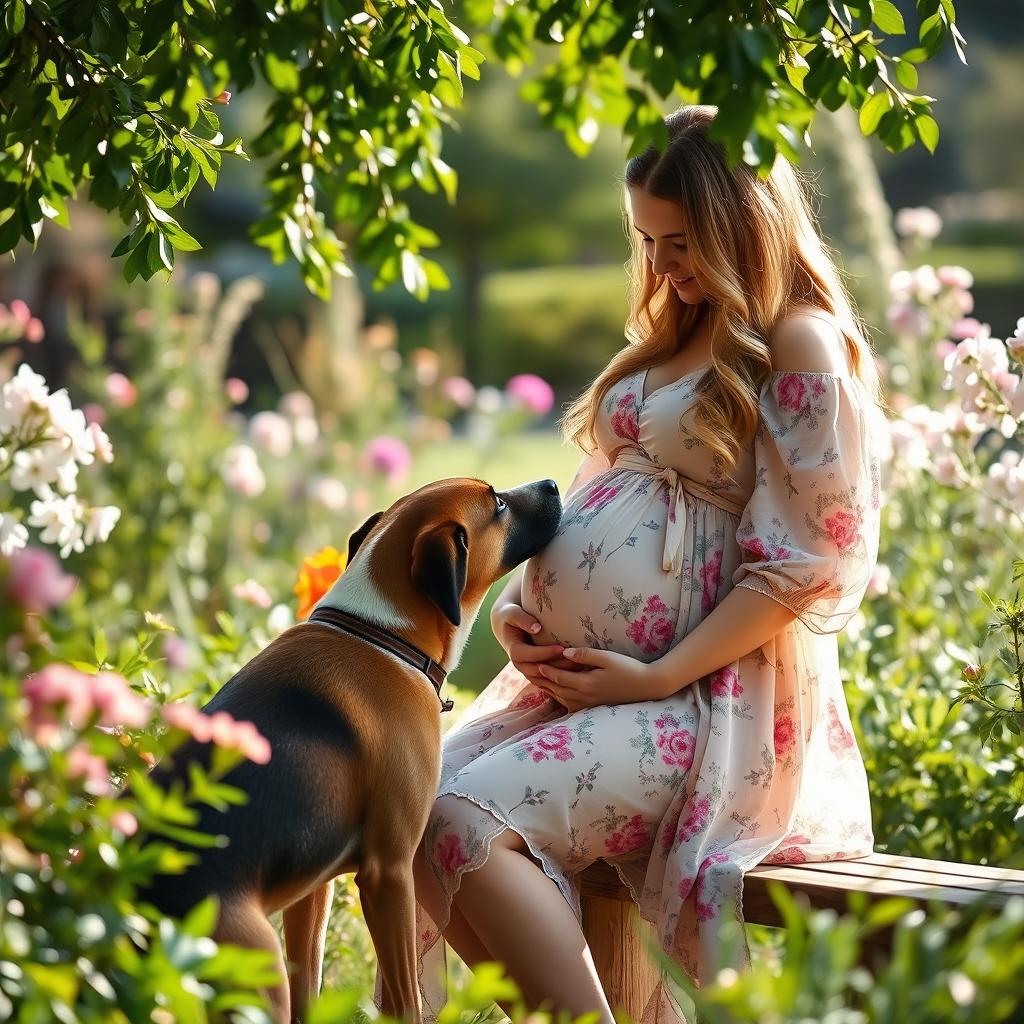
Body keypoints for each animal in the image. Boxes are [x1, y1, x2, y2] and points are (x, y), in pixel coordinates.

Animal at [130, 477, 561, 1024]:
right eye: (499, 504)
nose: (552, 483)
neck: (382, 633)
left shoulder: (312, 891)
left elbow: (309, 988)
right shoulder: (388, 873)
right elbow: (405, 1000)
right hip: (256, 974)